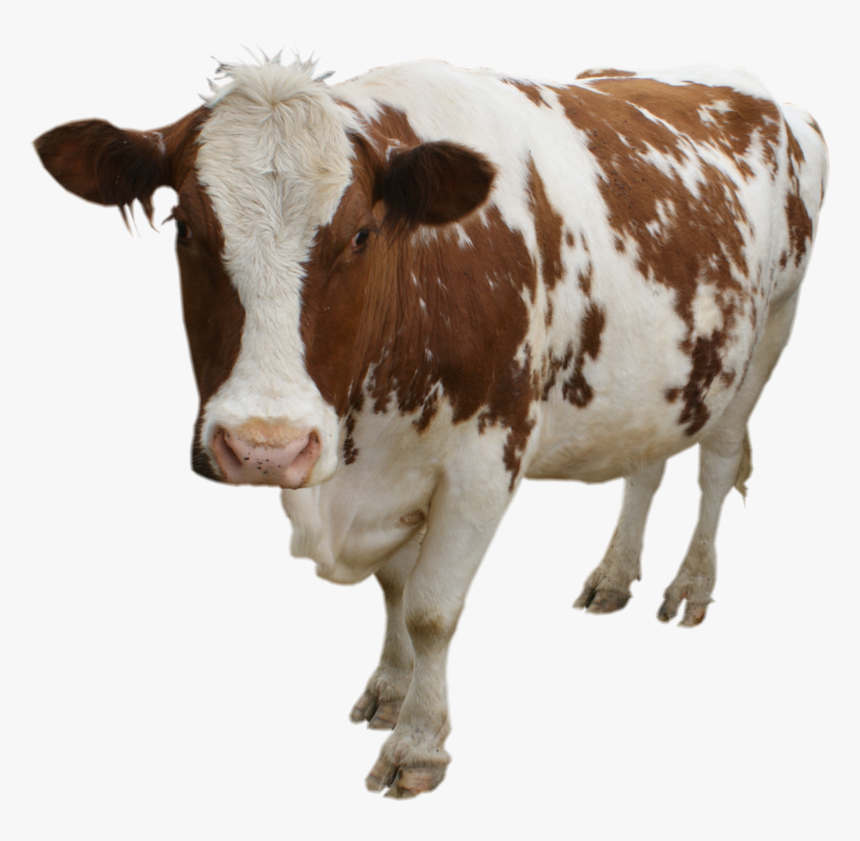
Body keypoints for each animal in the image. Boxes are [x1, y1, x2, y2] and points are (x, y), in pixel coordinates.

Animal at [35, 56, 827, 798]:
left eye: (361, 233)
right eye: (185, 228)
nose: (265, 447)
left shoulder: (484, 461)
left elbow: (431, 609)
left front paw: (418, 744)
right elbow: (394, 586)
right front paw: (390, 689)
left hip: (770, 331)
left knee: (717, 464)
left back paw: (691, 583)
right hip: (660, 375)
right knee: (647, 466)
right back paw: (613, 573)